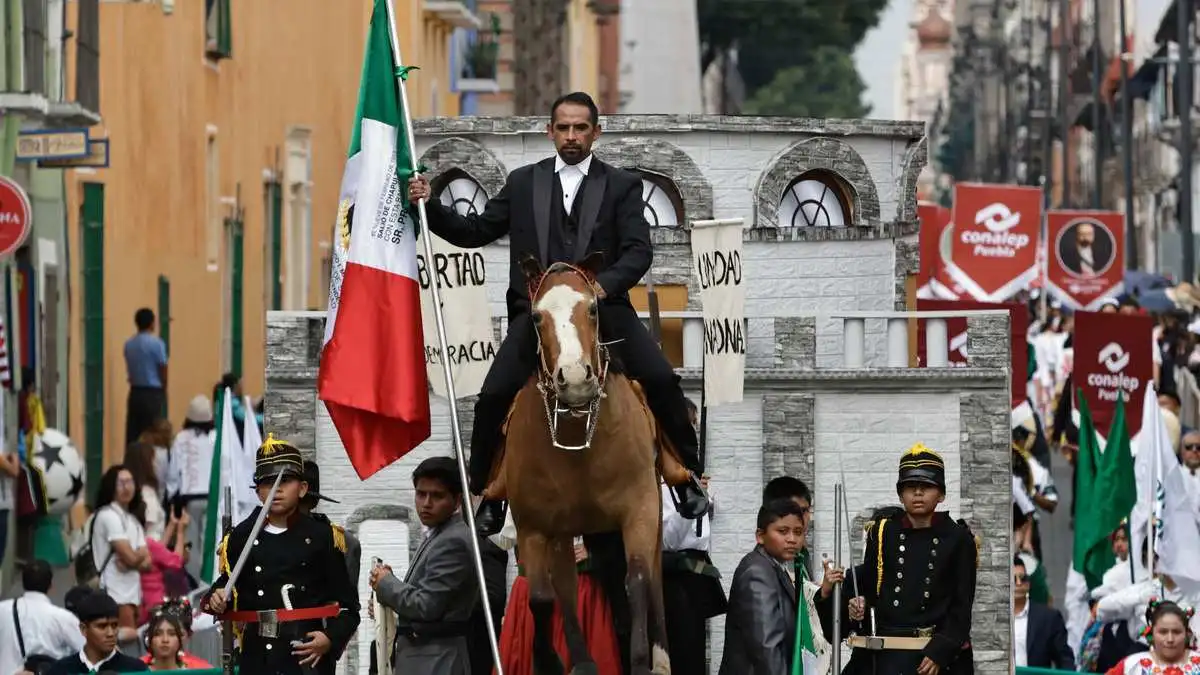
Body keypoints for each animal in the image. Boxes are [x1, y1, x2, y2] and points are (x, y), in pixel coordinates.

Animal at [487, 253, 676, 672]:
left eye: (592, 308)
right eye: (536, 317)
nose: (574, 379)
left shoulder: (639, 509)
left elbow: (638, 582)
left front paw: (641, 659)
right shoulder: (535, 527)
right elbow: (544, 599)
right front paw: (553, 660)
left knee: (654, 584)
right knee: (567, 591)